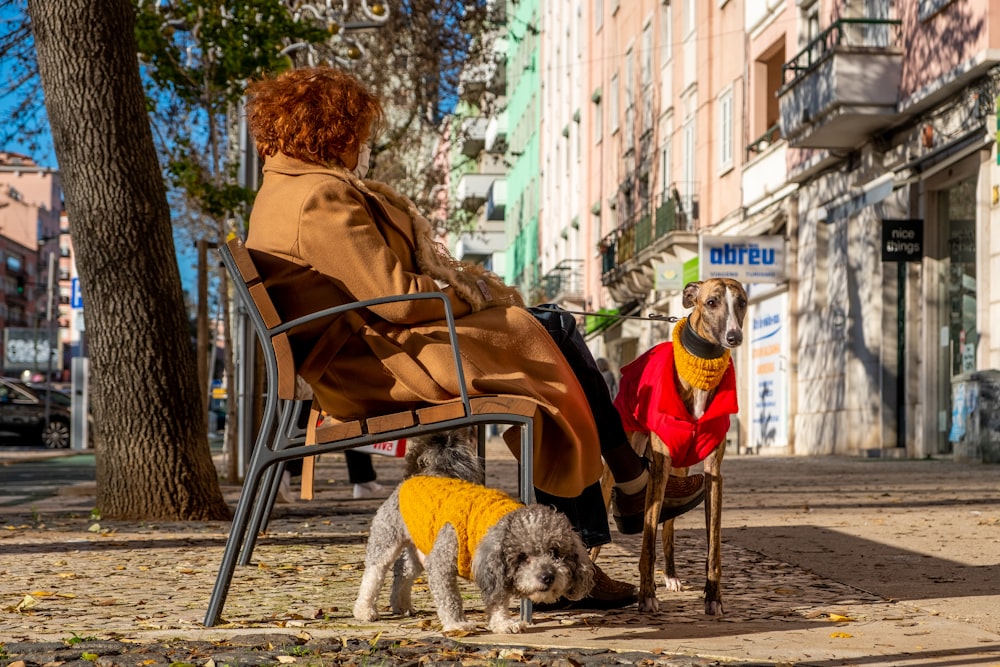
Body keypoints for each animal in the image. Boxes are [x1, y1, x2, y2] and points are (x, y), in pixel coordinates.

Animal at [352, 430, 592, 636]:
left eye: (555, 553)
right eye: (522, 557)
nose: (548, 576)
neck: (491, 523)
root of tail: (413, 476)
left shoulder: (490, 571)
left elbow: (497, 599)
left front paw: (502, 623)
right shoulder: (442, 564)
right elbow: (451, 599)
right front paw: (457, 624)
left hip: (419, 550)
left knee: (403, 573)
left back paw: (401, 605)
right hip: (386, 540)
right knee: (373, 574)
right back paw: (364, 610)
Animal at [612, 278, 748, 616]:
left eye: (742, 302)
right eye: (711, 302)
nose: (734, 337)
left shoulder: (713, 474)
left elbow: (713, 544)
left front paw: (713, 597)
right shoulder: (658, 469)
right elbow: (647, 539)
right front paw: (646, 595)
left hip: (681, 470)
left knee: (669, 526)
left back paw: (671, 575)